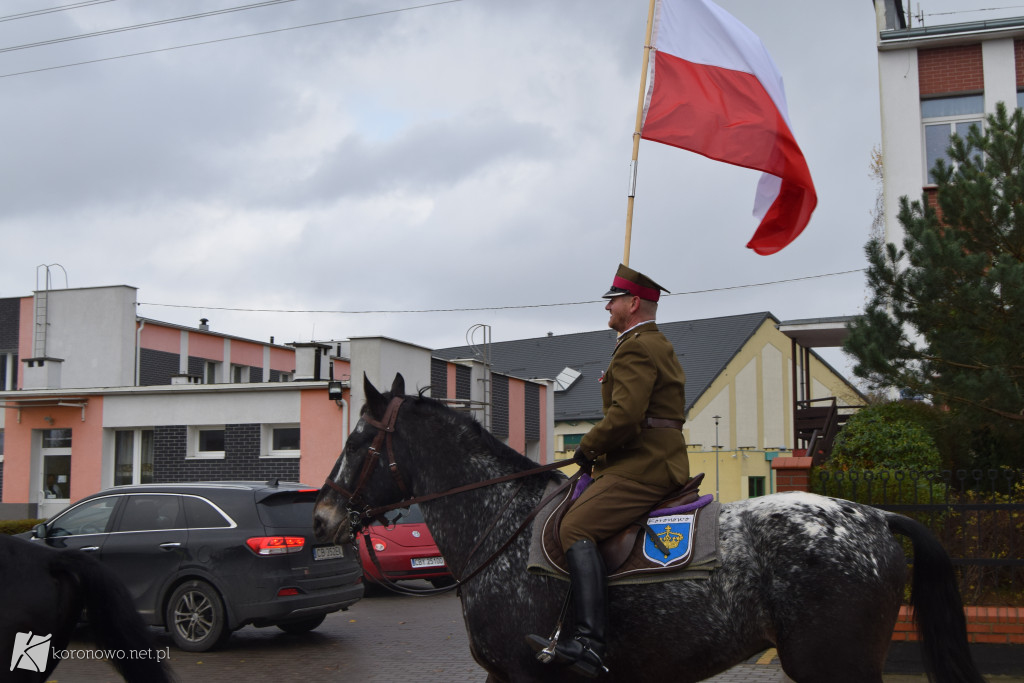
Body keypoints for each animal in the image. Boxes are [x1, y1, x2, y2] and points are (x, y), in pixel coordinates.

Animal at [313, 374, 983, 683]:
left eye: (359, 441)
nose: (321, 518)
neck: (499, 521)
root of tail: (874, 515)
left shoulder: (524, 673)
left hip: (834, 664)